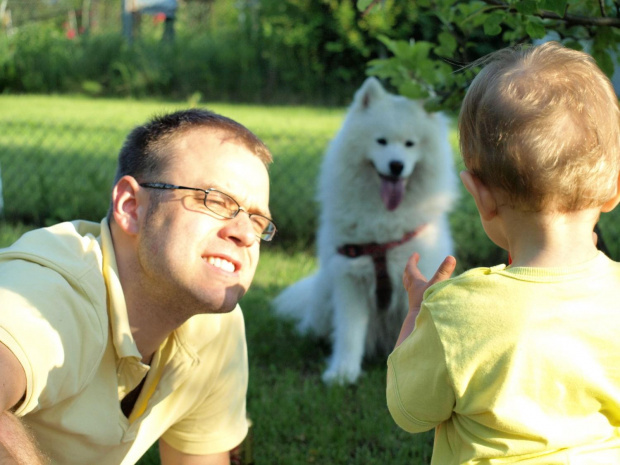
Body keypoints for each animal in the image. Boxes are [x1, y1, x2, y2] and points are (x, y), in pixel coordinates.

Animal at [274, 77, 458, 384]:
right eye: (380, 141)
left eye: (410, 144)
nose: (396, 166)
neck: (385, 222)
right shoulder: (350, 276)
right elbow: (349, 332)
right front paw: (342, 373)